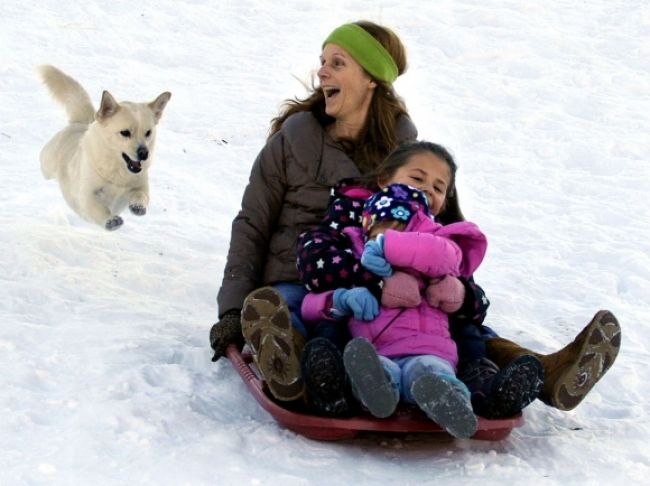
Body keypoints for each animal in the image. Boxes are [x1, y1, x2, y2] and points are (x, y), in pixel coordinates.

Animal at [37, 64, 170, 230]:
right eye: (125, 132)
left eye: (148, 132)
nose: (144, 153)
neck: (117, 172)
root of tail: (82, 122)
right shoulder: (86, 195)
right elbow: (97, 208)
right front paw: (111, 220)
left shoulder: (140, 185)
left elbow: (142, 194)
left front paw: (138, 206)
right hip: (47, 164)